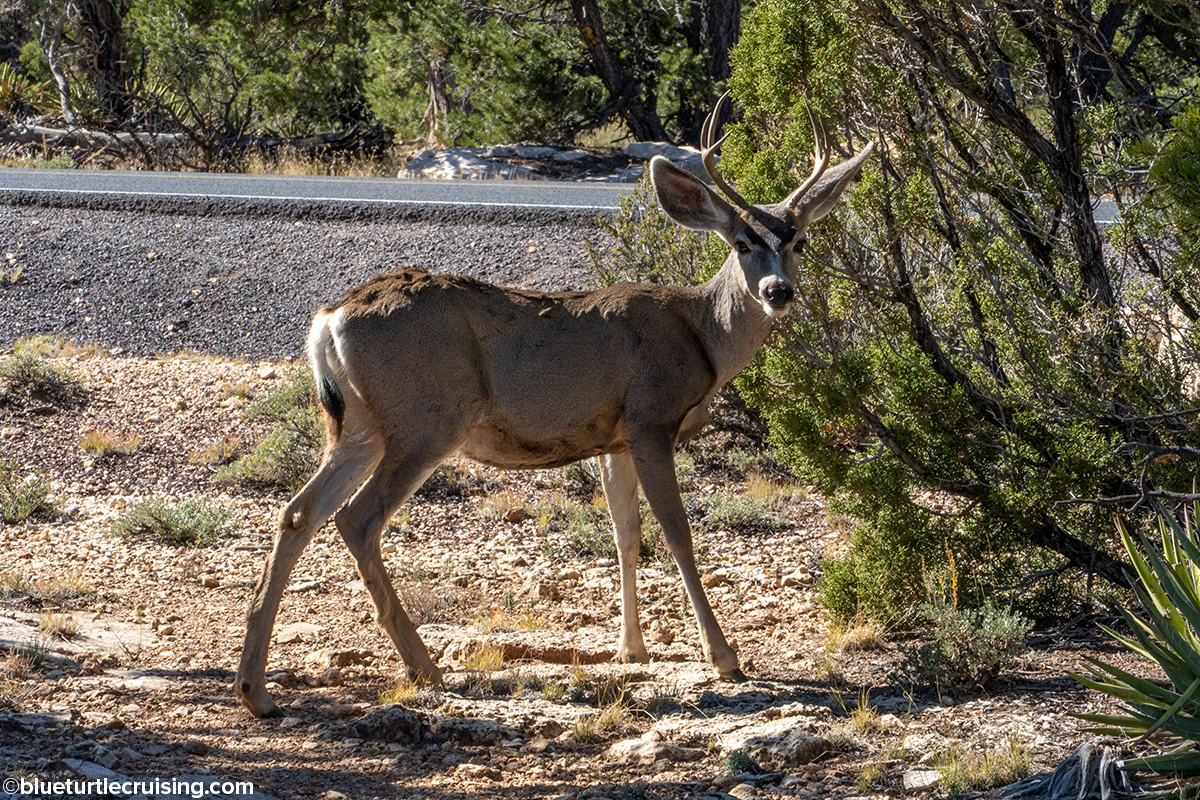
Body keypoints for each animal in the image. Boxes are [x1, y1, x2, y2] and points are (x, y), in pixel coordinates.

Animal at [235, 97, 875, 717]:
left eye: (799, 241)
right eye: (742, 244)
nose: (778, 292)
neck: (701, 335)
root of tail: (330, 318)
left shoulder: (613, 437)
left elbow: (625, 531)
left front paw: (631, 648)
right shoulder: (651, 418)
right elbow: (677, 534)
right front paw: (724, 658)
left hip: (359, 424)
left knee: (298, 512)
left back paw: (256, 689)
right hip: (426, 419)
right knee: (357, 517)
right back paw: (423, 666)